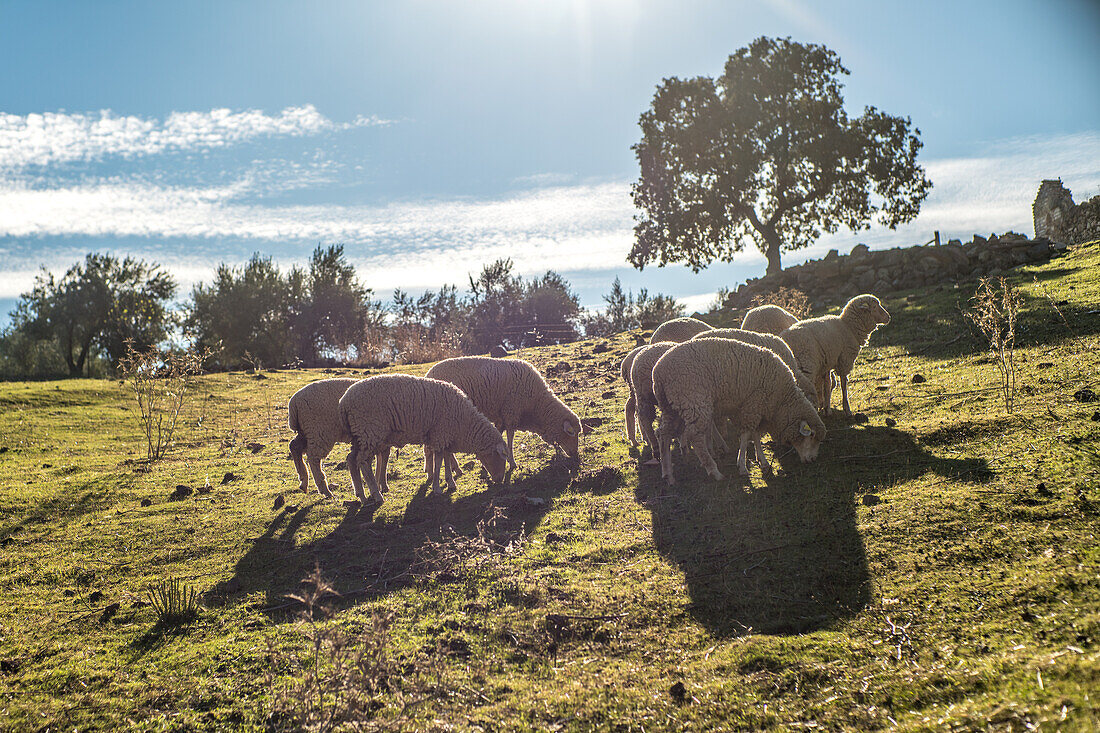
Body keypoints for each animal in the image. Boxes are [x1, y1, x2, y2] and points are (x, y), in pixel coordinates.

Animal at [336, 374, 508, 506]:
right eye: (502, 456)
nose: (500, 480)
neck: (465, 422)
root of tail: (343, 402)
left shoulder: (444, 435)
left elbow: (446, 459)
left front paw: (450, 483)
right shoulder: (441, 434)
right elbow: (438, 462)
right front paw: (437, 488)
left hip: (359, 435)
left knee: (352, 459)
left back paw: (362, 495)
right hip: (370, 430)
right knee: (363, 462)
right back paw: (377, 495)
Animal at [420, 356, 580, 477]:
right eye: (571, 433)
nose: (575, 454)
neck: (537, 406)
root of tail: (429, 374)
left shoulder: (501, 418)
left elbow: (500, 436)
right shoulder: (511, 413)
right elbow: (509, 439)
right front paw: (512, 462)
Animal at [651, 338, 827, 484]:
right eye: (811, 435)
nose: (812, 459)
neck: (782, 400)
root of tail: (658, 372)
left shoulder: (755, 407)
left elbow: (754, 435)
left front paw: (762, 461)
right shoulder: (754, 403)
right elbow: (746, 436)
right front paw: (742, 466)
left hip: (671, 406)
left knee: (663, 433)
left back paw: (668, 474)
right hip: (693, 401)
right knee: (695, 436)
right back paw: (714, 471)